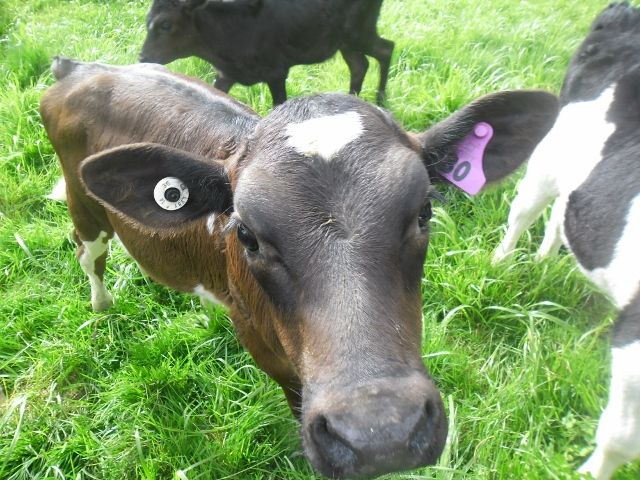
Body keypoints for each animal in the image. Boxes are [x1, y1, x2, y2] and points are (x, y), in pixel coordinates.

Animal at [41, 56, 558, 478]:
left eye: (424, 212)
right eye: (246, 235)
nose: (381, 432)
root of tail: (82, 68)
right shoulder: (260, 341)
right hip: (83, 204)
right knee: (89, 255)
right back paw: (101, 305)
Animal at [138, 0, 395, 106]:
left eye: (166, 24)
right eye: (147, 19)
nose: (143, 57)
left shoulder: (276, 71)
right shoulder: (225, 74)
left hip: (359, 31)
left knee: (386, 48)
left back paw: (380, 100)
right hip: (344, 40)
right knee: (359, 64)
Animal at [492, 3, 640, 479]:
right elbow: (620, 438)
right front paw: (591, 474)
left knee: (560, 216)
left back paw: (542, 261)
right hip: (548, 155)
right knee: (525, 213)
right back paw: (501, 262)